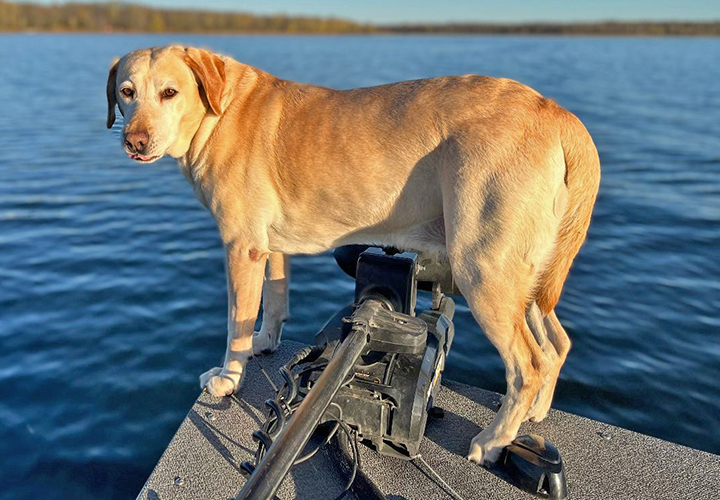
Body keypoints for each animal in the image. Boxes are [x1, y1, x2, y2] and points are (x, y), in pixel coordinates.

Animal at [105, 45, 600, 462]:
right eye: (127, 92)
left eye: (170, 92)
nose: (134, 140)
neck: (219, 111)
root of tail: (558, 113)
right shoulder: (269, 246)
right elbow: (274, 302)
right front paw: (266, 343)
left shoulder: (241, 246)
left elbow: (236, 324)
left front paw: (228, 379)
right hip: (527, 276)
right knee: (557, 344)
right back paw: (534, 414)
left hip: (483, 267)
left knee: (529, 364)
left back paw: (493, 440)